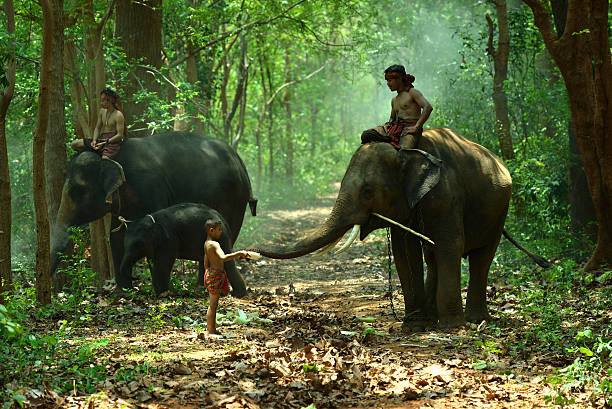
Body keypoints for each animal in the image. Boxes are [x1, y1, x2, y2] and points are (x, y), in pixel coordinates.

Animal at [49, 131, 256, 296]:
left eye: (76, 191)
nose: (52, 290)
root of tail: (240, 162)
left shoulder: (152, 187)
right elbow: (116, 236)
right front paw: (123, 291)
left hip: (234, 198)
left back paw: (201, 287)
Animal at [251, 127, 548, 328]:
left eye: (368, 191)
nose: (253, 249)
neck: (406, 151)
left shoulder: (446, 194)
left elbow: (450, 245)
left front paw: (450, 327)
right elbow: (404, 251)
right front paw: (413, 325)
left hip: (500, 211)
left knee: (481, 257)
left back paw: (474, 319)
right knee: (432, 257)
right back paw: (433, 316)